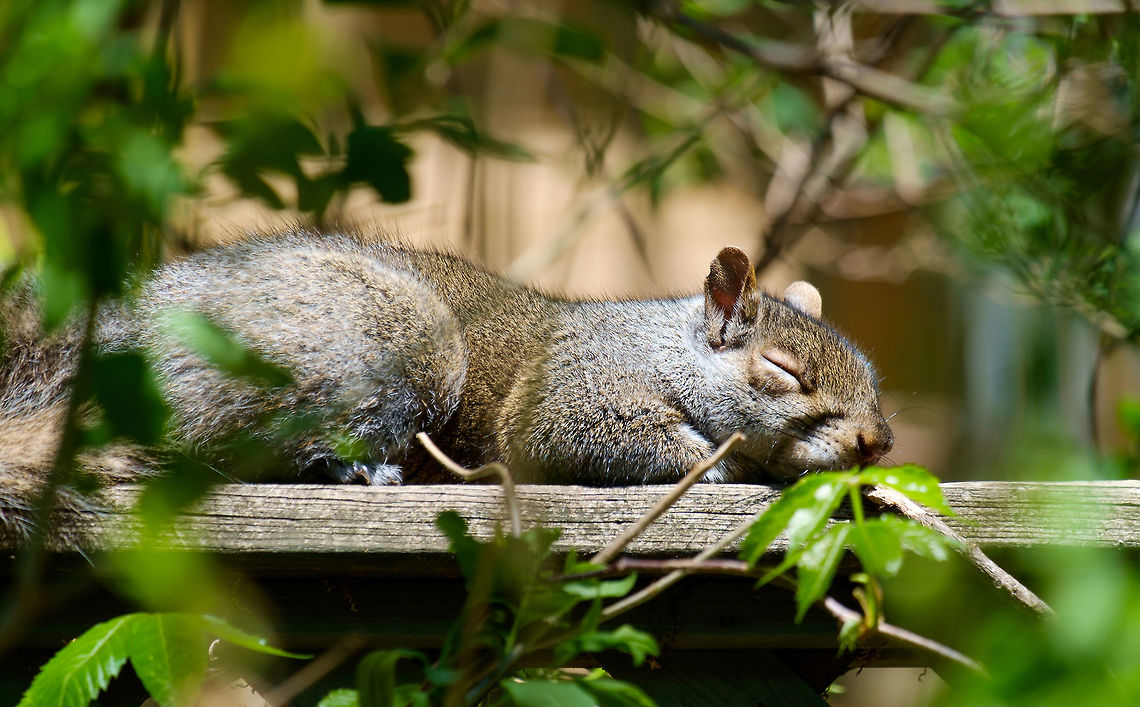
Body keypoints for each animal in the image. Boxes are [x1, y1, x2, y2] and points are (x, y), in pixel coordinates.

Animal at [0, 230, 892, 533]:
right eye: (782, 370)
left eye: (875, 380)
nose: (876, 440)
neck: (660, 347)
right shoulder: (574, 387)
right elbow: (599, 434)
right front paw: (730, 460)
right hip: (384, 346)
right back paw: (357, 468)